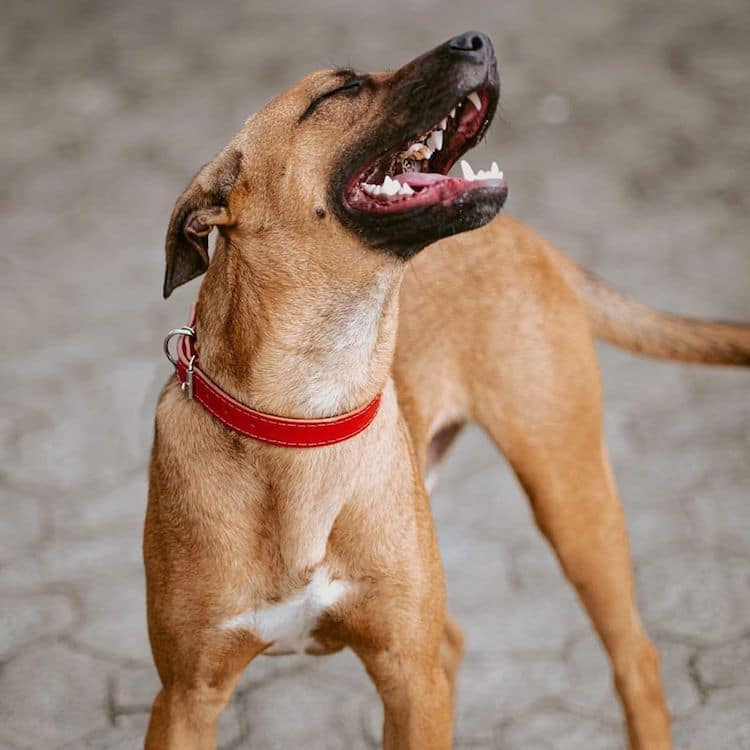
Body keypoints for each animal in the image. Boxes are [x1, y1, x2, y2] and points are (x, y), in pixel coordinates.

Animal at [144, 30, 748, 750]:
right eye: (341, 90)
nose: (476, 38)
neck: (306, 413)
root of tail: (528, 236)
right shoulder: (186, 697)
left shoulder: (408, 672)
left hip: (572, 496)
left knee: (635, 658)